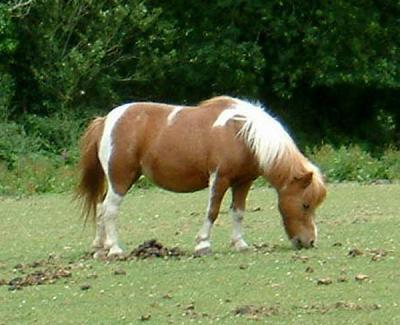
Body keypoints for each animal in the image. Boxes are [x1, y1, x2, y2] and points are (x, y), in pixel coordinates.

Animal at [76, 95, 326, 256]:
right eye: (305, 205)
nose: (310, 241)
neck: (241, 134)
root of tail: (105, 120)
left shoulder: (243, 182)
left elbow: (238, 212)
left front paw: (239, 244)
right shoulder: (220, 178)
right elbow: (212, 211)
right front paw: (203, 244)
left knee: (101, 208)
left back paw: (100, 248)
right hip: (120, 179)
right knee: (110, 209)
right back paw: (115, 249)